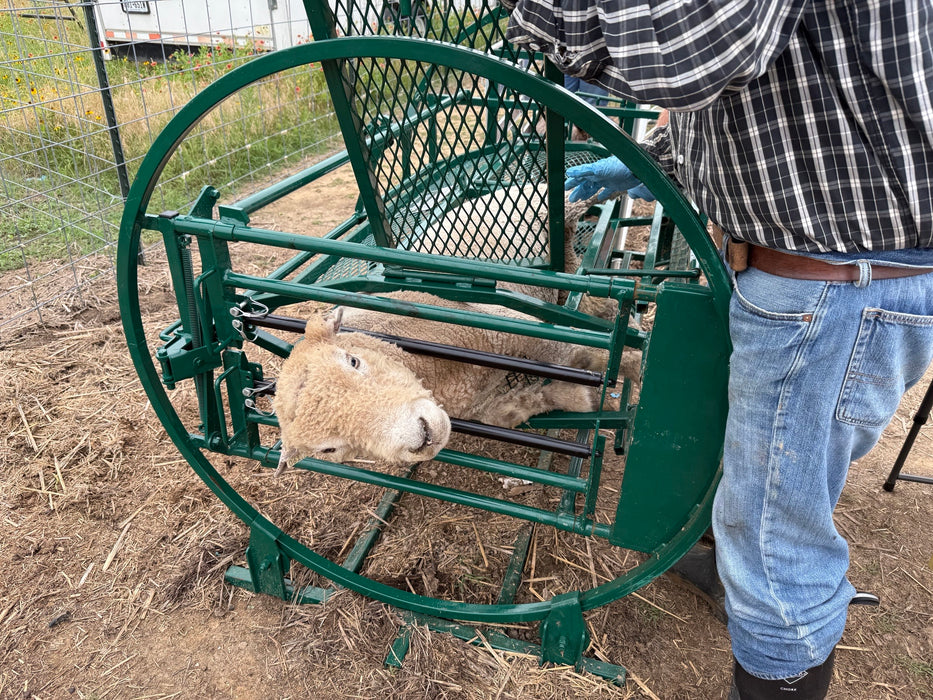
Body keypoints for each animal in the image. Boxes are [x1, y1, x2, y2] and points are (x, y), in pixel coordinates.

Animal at [274, 184, 613, 470]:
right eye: (328, 449)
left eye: (353, 361)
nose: (422, 437)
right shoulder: (478, 405)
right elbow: (508, 413)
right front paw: (576, 397)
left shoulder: (500, 322)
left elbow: (573, 354)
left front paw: (618, 367)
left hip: (557, 218)